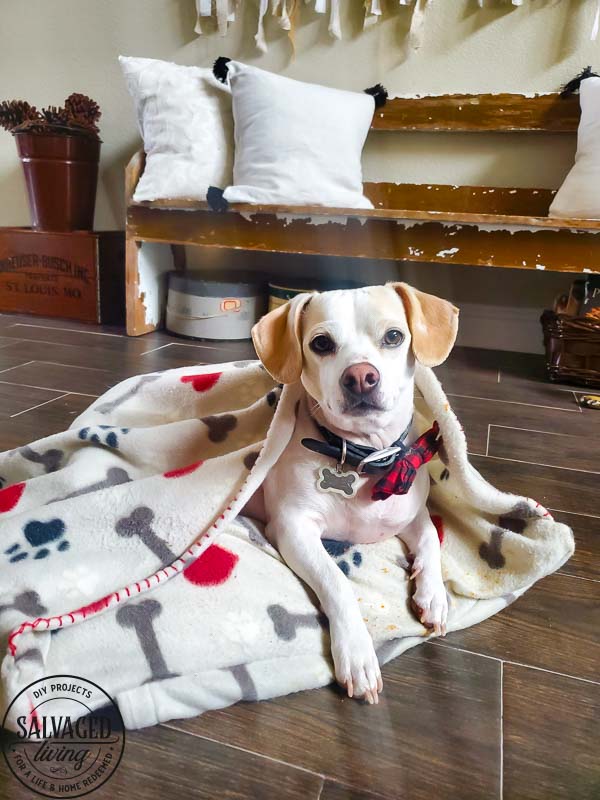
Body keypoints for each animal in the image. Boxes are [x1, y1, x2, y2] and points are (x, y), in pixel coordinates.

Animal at [245, 282, 460, 700]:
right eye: (321, 343)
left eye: (394, 336)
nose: (361, 376)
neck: (366, 457)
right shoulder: (293, 528)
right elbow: (337, 581)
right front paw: (357, 654)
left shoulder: (411, 513)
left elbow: (431, 538)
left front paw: (433, 594)